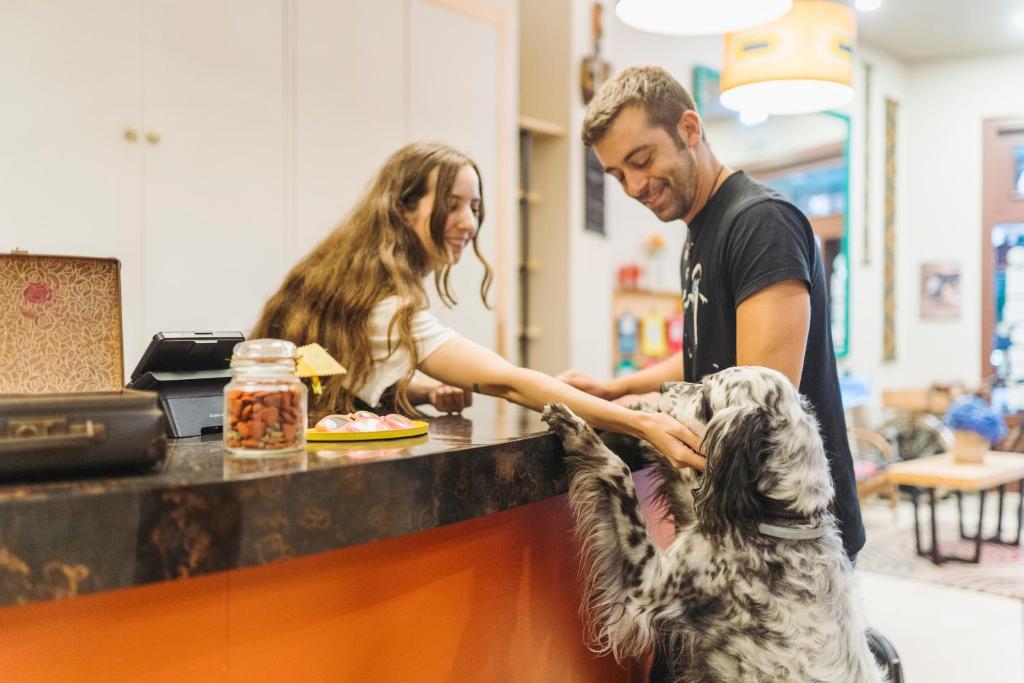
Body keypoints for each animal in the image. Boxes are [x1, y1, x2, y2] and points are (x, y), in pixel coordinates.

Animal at [540, 368, 884, 683]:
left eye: (706, 398)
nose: (663, 386)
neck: (785, 514)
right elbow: (679, 470)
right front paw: (643, 411)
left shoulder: (645, 583)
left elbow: (618, 470)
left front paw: (579, 433)